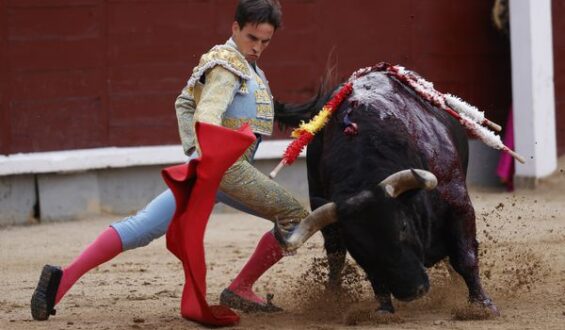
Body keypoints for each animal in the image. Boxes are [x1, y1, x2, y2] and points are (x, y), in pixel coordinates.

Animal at [274, 65, 498, 318]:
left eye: (403, 226)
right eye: (358, 245)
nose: (411, 291)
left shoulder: (459, 204)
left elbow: (465, 257)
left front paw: (482, 304)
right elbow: (370, 273)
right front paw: (383, 309)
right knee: (335, 259)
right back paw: (332, 296)